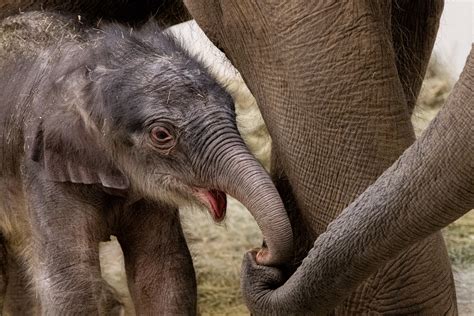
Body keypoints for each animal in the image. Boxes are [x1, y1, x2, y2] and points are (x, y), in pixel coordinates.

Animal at [0, 11, 292, 314]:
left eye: (232, 109)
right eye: (161, 134)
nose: (259, 253)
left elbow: (163, 270)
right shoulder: (44, 171)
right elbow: (72, 281)